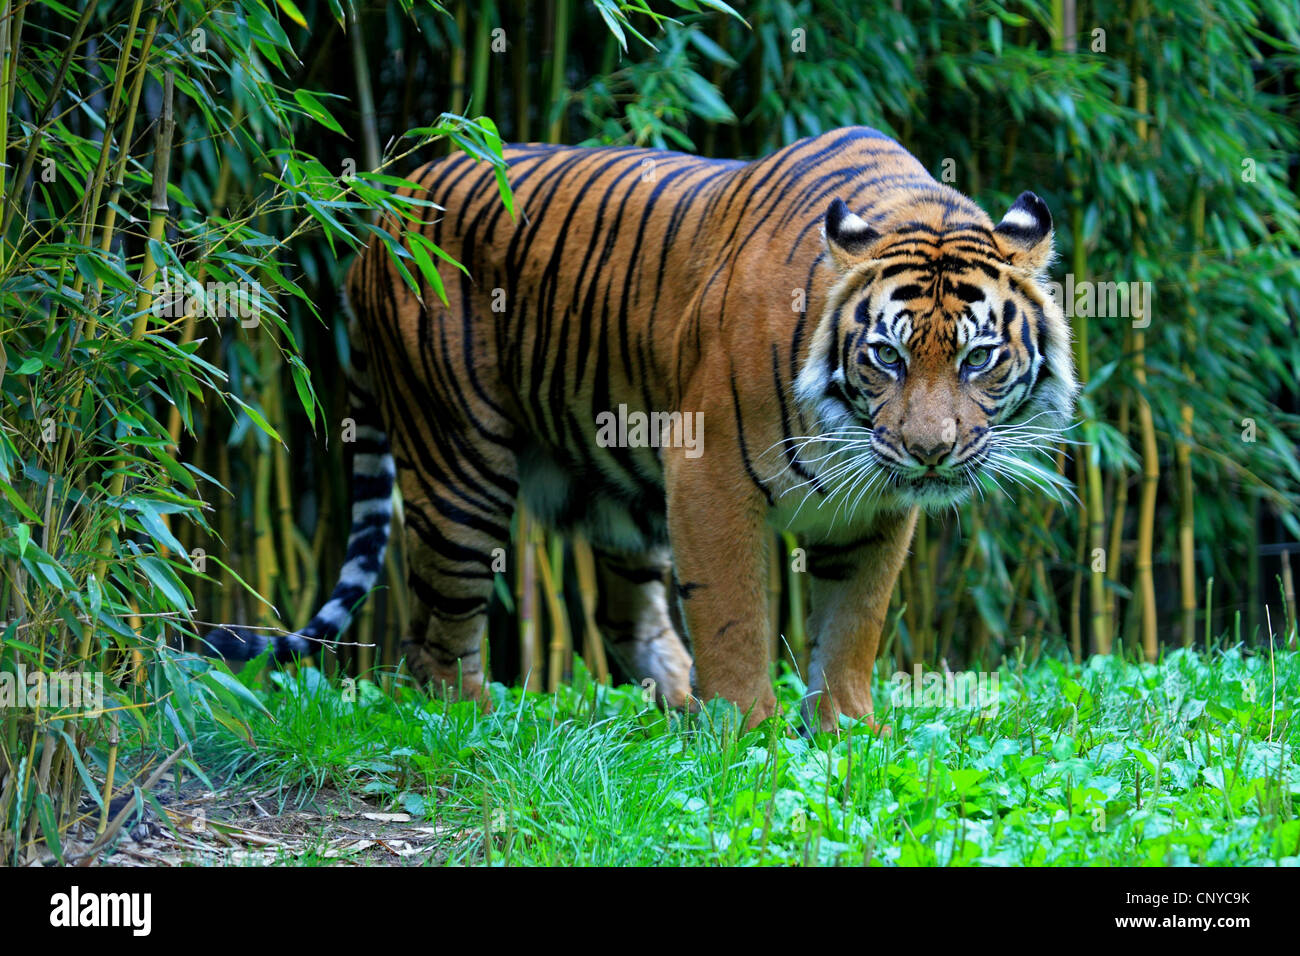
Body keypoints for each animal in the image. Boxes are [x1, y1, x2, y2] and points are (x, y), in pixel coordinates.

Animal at [205, 127, 1076, 733]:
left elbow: (852, 622)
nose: (930, 453)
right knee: (434, 638)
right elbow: (735, 616)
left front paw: (848, 733)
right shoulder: (710, 474)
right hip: (459, 468)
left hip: (613, 486)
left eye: (978, 358)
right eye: (887, 356)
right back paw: (481, 732)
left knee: (621, 614)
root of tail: (384, 213)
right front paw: (751, 738)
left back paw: (676, 715)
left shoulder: (873, 509)